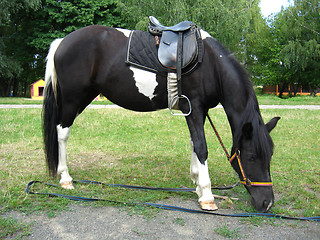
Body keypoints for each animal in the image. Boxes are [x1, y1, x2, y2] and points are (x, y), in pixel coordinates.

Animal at [43, 23, 280, 212]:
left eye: (270, 156)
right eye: (251, 157)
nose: (267, 203)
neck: (210, 64)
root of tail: (62, 42)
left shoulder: (199, 110)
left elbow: (194, 143)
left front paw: (196, 182)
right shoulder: (194, 107)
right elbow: (202, 146)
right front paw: (207, 195)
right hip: (73, 99)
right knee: (62, 133)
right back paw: (66, 178)